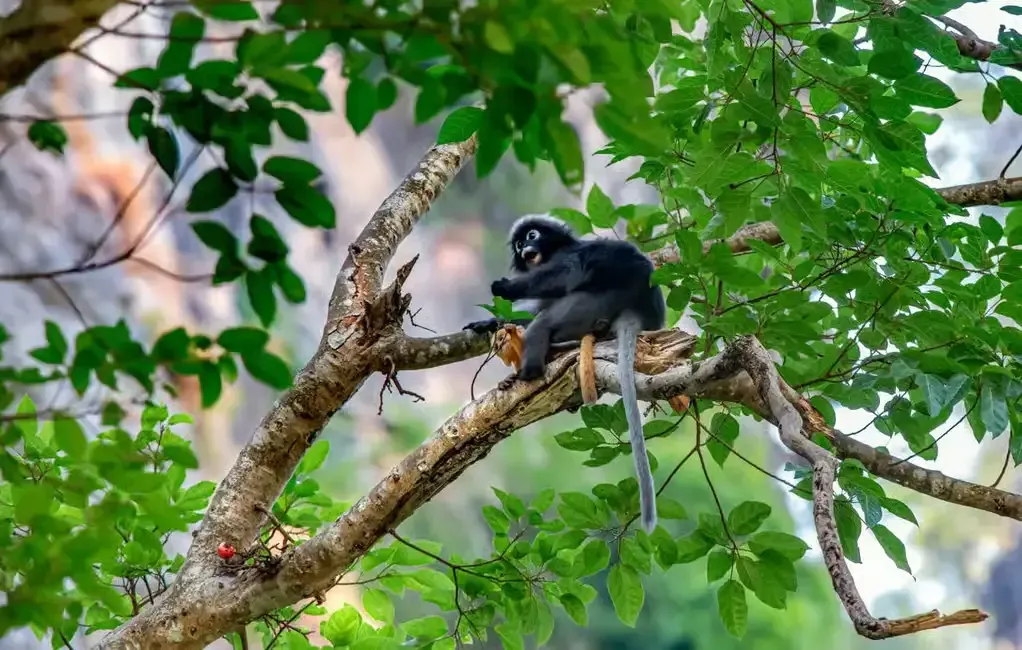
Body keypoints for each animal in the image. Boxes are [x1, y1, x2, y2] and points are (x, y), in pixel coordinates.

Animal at [464, 215, 667, 532]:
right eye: (518, 245)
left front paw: (507, 288)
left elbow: (571, 272)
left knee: (548, 317)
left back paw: (530, 371)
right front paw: (488, 322)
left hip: (594, 302)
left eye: (532, 236)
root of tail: (637, 311)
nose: (525, 250)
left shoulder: (571, 256)